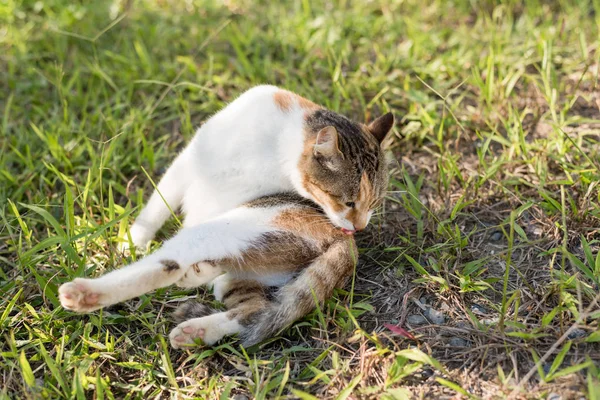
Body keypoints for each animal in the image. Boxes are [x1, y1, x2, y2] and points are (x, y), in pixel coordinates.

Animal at [56, 85, 394, 346]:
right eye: (348, 201)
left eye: (373, 204)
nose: (359, 227)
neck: (273, 149)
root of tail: (344, 243)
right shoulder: (189, 160)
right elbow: (157, 205)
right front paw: (132, 242)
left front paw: (130, 245)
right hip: (256, 267)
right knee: (253, 306)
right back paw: (198, 318)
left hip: (234, 226)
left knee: (169, 266)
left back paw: (86, 294)